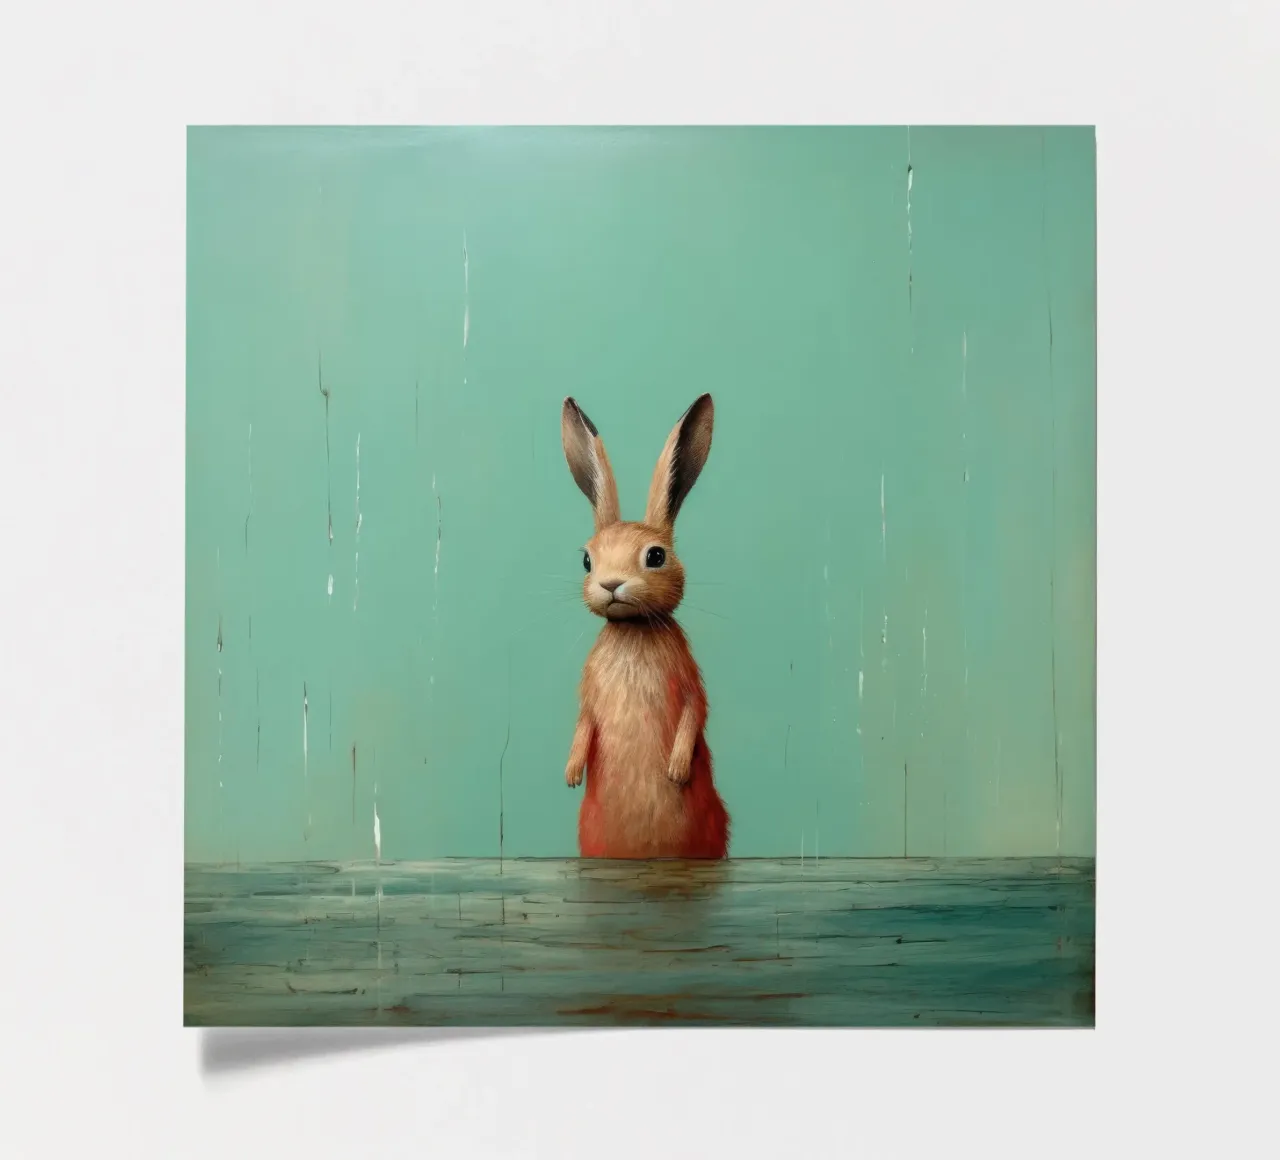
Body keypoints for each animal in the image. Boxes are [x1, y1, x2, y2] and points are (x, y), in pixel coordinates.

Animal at [560, 393, 730, 859]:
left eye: (656, 556)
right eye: (587, 560)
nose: (611, 584)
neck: (633, 628)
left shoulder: (690, 681)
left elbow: (694, 712)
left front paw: (675, 771)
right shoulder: (588, 696)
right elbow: (583, 723)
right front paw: (571, 773)